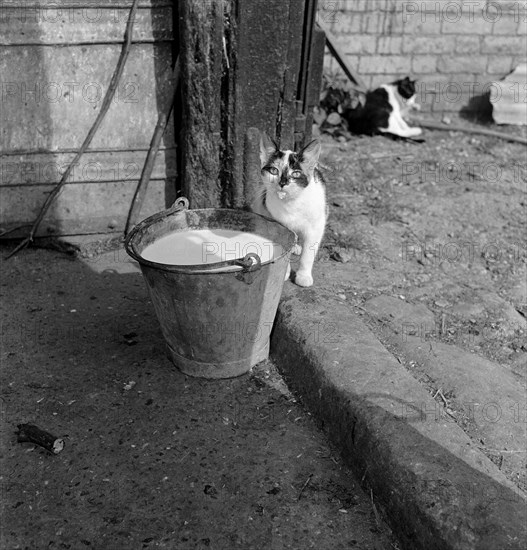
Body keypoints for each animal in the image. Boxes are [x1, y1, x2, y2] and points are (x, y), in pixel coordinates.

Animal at [252, 135, 326, 288]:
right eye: (274, 171)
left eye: (296, 173)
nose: (282, 183)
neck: (291, 204)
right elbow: (283, 250)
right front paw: (284, 273)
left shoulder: (317, 226)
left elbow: (309, 253)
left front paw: (304, 276)